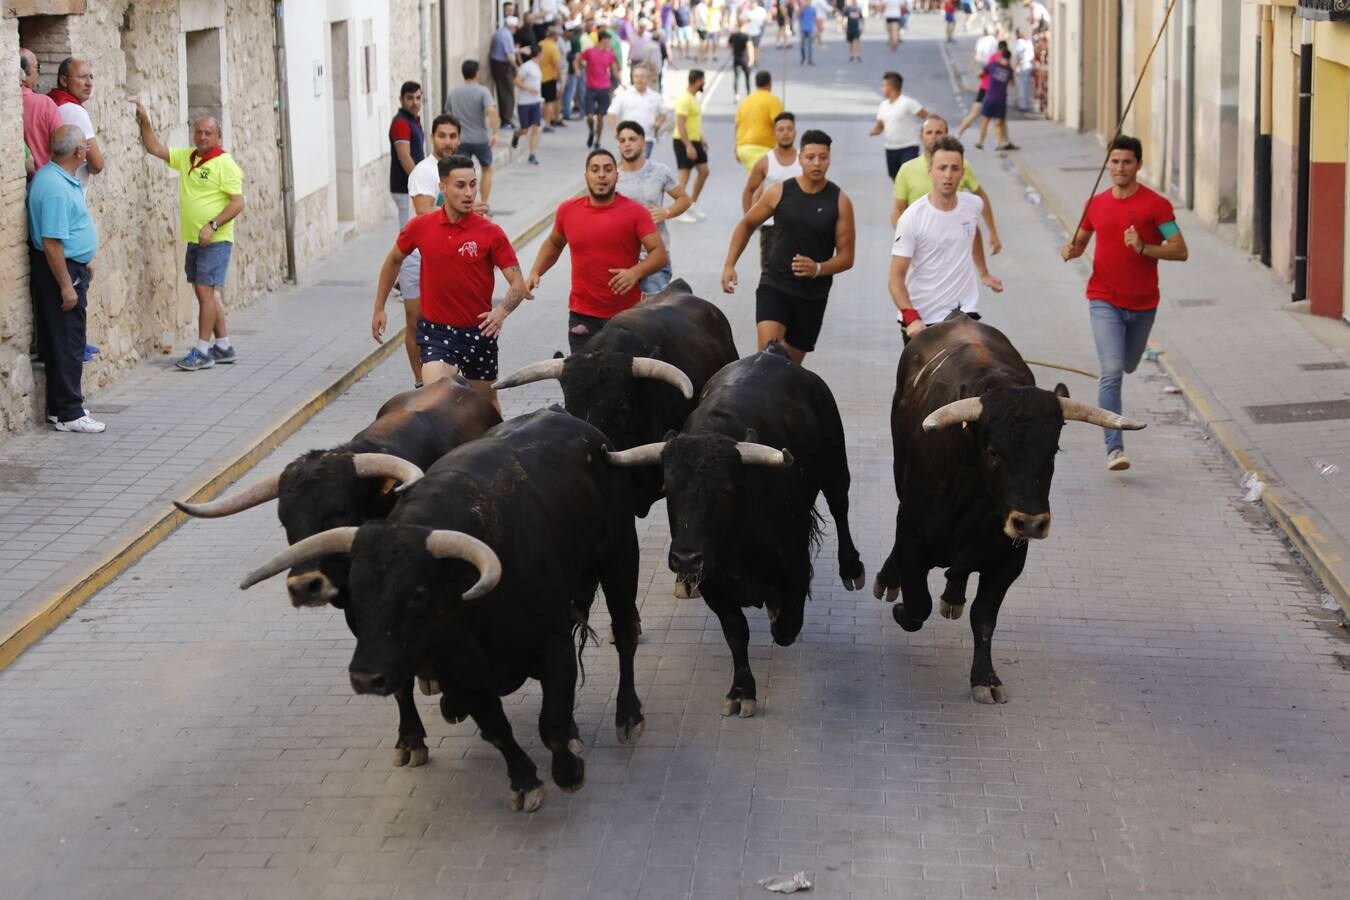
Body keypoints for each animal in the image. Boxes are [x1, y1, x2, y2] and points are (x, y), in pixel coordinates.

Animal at [240, 410, 645, 814]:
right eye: (356, 592)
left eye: (417, 595)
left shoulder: (552, 642)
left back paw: (629, 716)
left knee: (625, 633)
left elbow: (554, 724)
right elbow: (496, 728)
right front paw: (525, 781)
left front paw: (568, 771)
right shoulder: (454, 671)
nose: (365, 679)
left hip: (621, 557)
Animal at [869, 315, 1144, 701]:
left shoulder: (1009, 559)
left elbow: (984, 617)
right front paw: (900, 607)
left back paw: (953, 596)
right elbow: (918, 604)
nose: (1030, 523)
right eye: (993, 452)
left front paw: (985, 678)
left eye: (1052, 452)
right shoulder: (912, 535)